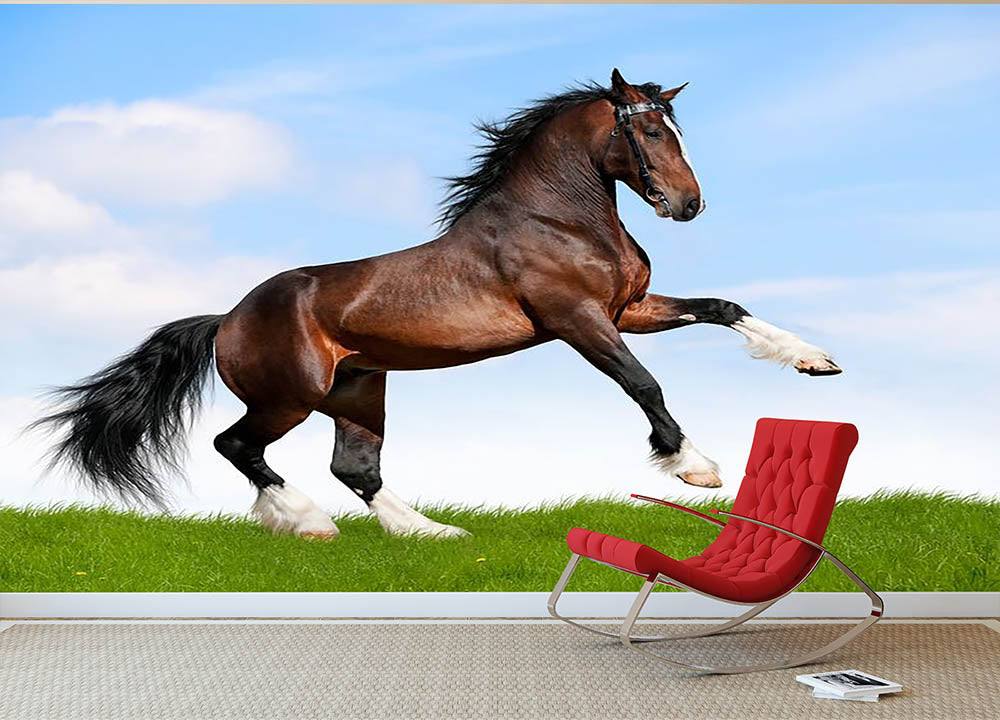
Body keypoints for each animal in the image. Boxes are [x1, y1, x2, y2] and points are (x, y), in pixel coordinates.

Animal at [34, 69, 841, 540]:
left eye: (675, 129)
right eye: (644, 130)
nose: (687, 204)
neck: (559, 219)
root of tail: (225, 320)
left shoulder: (628, 310)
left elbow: (724, 308)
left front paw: (816, 363)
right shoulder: (578, 322)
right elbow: (644, 384)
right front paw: (695, 468)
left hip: (359, 389)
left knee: (355, 468)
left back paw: (431, 533)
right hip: (291, 396)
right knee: (240, 448)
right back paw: (307, 523)